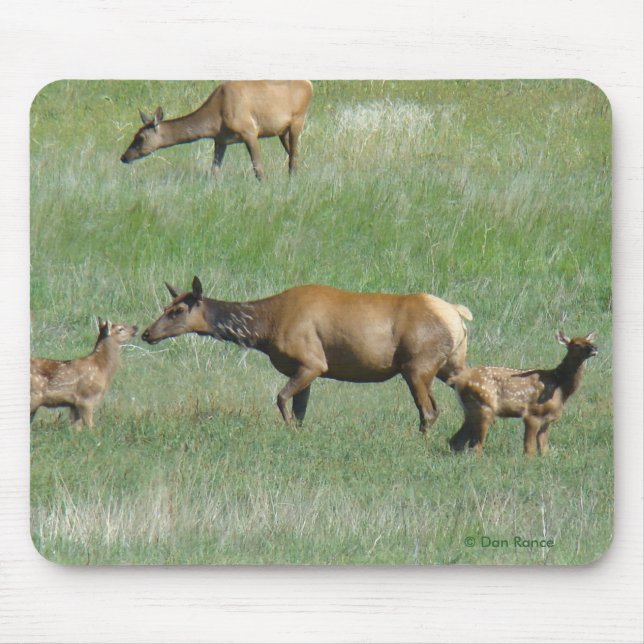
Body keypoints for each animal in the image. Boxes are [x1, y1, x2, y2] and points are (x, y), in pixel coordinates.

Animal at [120, 80, 313, 180]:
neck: (215, 121)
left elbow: (258, 169)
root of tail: (309, 84)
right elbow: (214, 171)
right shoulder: (220, 140)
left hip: (298, 120)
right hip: (282, 131)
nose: (124, 157)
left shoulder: (249, 131)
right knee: (293, 155)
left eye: (140, 137)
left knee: (293, 158)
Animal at [142, 276, 473, 432]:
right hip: (449, 364)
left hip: (417, 365)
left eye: (177, 310)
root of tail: (456, 314)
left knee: (428, 411)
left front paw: (287, 430)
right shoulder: (303, 369)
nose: (147, 333)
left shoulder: (313, 362)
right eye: (164, 307)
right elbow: (300, 411)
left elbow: (281, 399)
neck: (265, 328)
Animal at [448, 331, 598, 456]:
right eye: (577, 344)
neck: (559, 387)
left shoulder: (547, 419)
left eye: (589, 341)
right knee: (475, 446)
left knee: (456, 441)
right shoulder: (532, 414)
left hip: (470, 411)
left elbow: (544, 449)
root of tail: (458, 380)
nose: (595, 348)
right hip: (484, 406)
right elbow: (529, 450)